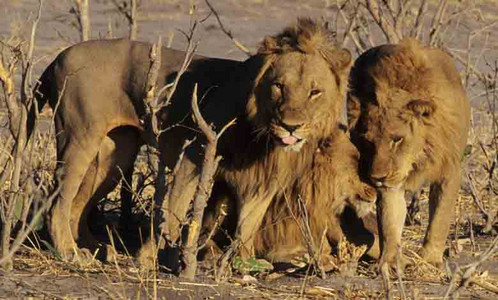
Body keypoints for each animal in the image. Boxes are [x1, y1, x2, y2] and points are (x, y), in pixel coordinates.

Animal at [346, 38, 470, 268]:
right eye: (368, 141)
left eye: (397, 139)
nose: (377, 177)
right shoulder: (391, 181)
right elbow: (389, 220)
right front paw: (391, 262)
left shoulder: (449, 169)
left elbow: (440, 217)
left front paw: (430, 259)